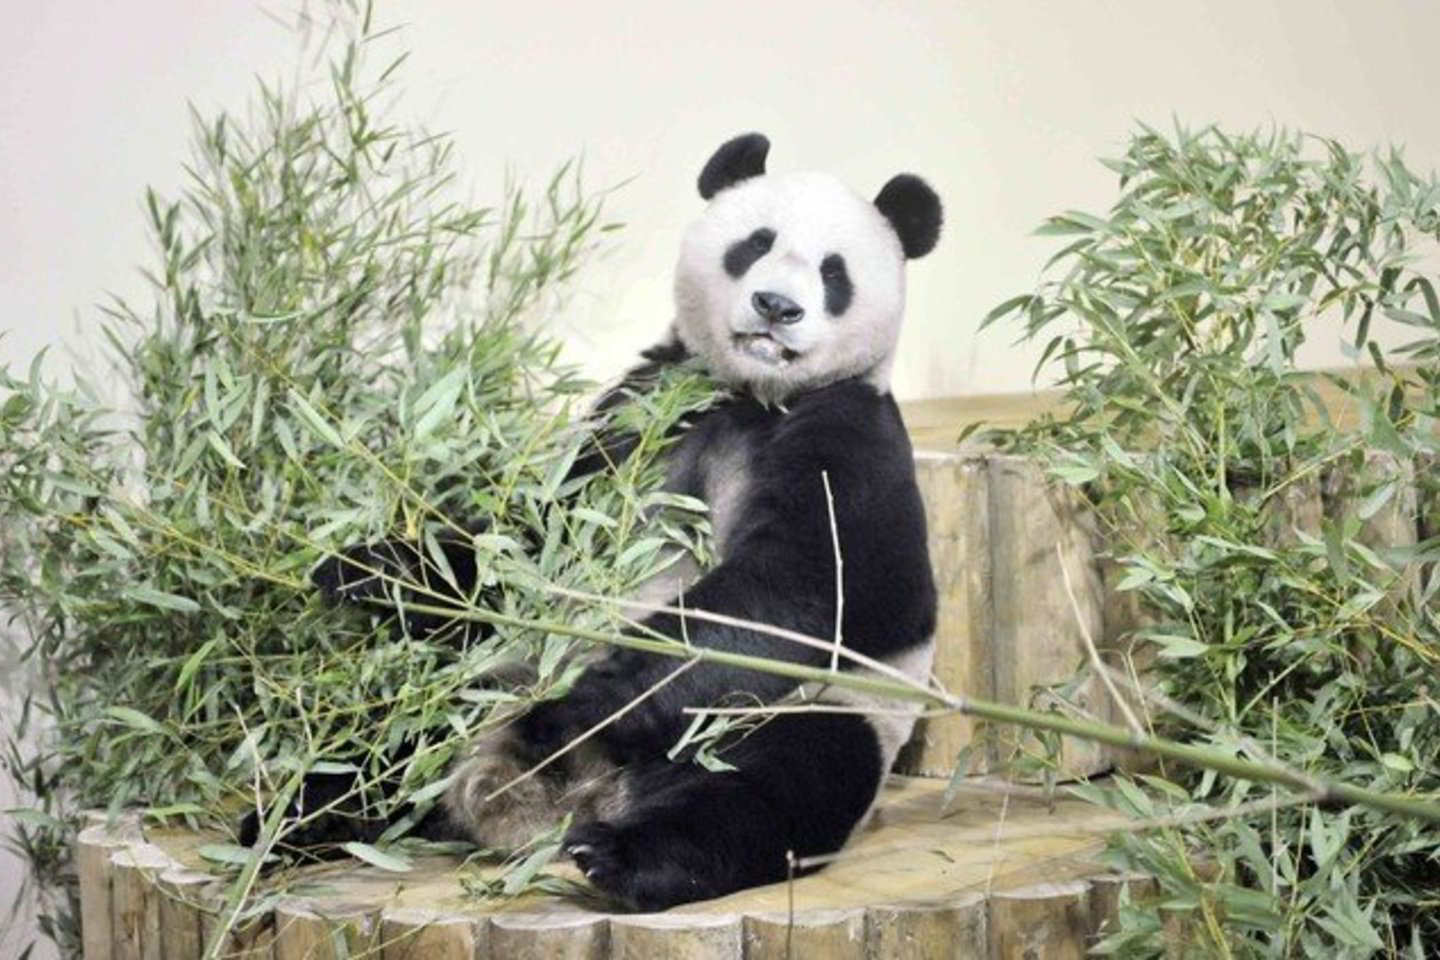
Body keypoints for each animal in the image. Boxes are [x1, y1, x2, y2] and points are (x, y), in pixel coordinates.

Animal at [312, 133, 943, 911]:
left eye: (834, 272)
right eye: (755, 244)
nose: (775, 306)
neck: (750, 393)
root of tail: (565, 804)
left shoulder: (850, 438)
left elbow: (814, 589)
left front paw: (575, 704)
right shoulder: (640, 411)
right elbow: (527, 540)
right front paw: (372, 568)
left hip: (803, 715)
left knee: (766, 788)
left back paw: (622, 855)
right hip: (467, 687)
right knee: (374, 741)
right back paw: (291, 819)